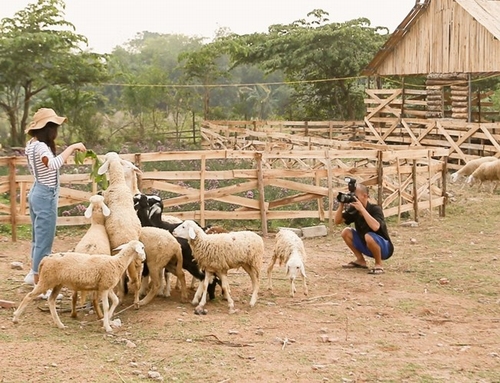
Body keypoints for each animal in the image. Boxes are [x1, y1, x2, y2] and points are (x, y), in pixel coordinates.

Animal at [12, 240, 146, 332]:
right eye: (142, 247)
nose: (144, 258)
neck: (117, 262)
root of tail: (44, 260)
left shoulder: (106, 287)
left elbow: (116, 301)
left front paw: (107, 320)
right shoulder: (104, 287)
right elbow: (107, 306)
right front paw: (107, 327)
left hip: (57, 283)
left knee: (51, 300)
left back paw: (60, 324)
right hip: (46, 280)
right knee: (29, 296)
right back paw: (15, 318)